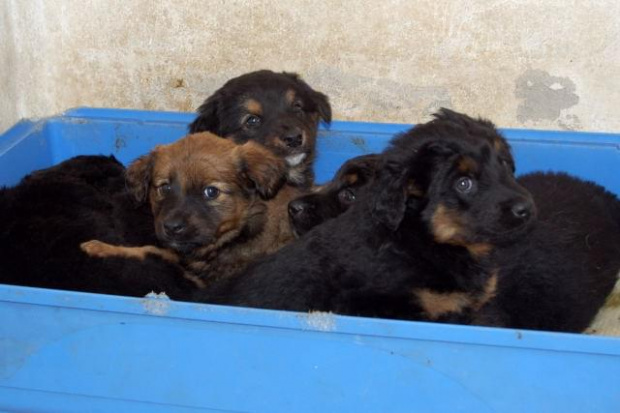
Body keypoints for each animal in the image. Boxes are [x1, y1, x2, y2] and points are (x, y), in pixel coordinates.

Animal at [82, 133, 306, 286]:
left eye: (211, 192)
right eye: (164, 187)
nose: (172, 228)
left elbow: (151, 251)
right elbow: (150, 249)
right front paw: (100, 247)